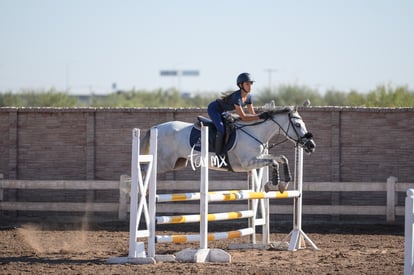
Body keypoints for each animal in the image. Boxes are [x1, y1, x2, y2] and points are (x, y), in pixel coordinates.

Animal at [141, 106, 316, 193]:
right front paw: (273, 184)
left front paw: (282, 185)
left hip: (178, 163)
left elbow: (281, 158)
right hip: (164, 163)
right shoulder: (248, 163)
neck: (255, 132)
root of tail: (155, 127)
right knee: (143, 171)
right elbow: (273, 162)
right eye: (298, 125)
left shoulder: (259, 157)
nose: (311, 146)